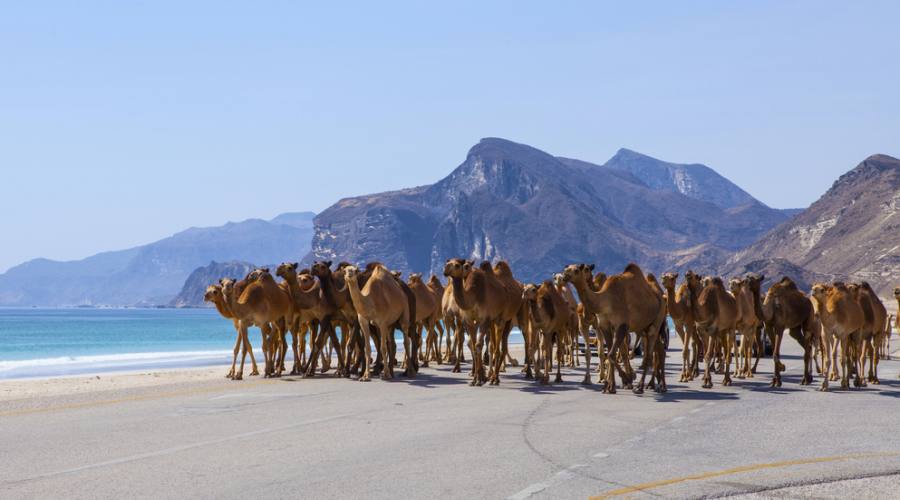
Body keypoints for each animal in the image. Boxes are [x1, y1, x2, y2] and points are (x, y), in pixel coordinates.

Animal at [564, 262, 668, 394]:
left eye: (577, 270)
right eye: (566, 268)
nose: (565, 275)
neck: (605, 300)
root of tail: (663, 297)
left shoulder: (622, 325)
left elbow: (612, 354)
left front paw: (627, 379)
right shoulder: (604, 326)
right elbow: (609, 353)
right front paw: (609, 386)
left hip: (656, 323)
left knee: (649, 355)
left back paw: (641, 387)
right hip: (645, 326)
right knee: (659, 350)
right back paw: (659, 385)